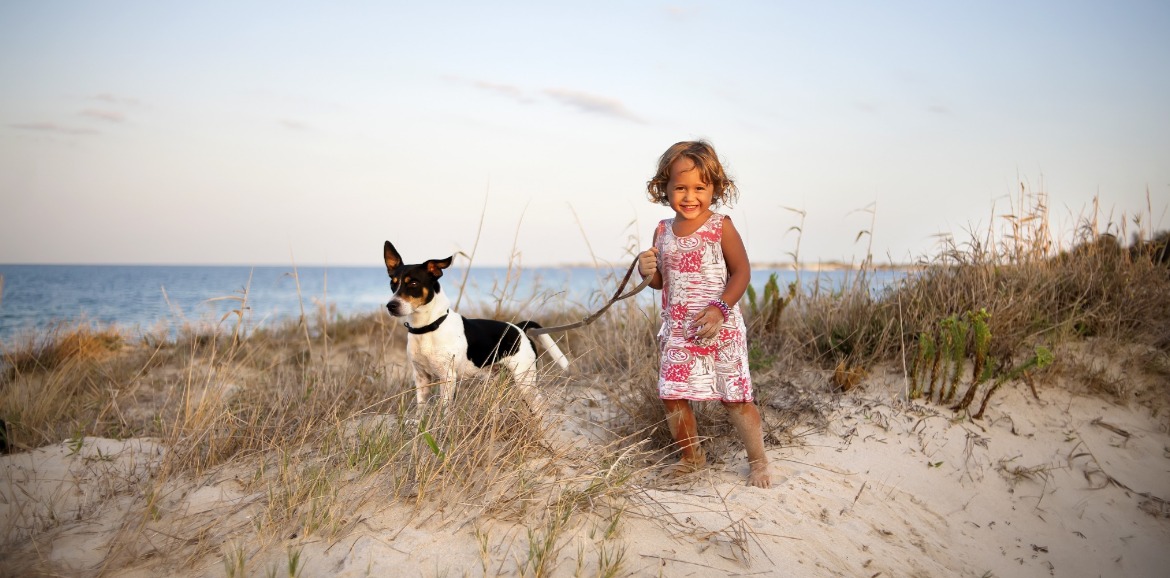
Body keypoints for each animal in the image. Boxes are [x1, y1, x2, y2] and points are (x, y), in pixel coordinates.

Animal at [381, 239, 568, 411]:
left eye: (413, 283)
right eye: (392, 283)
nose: (391, 306)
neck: (428, 328)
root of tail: (519, 327)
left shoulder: (447, 378)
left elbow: (444, 411)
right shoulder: (421, 377)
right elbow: (421, 410)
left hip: (525, 380)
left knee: (539, 404)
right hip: (494, 378)